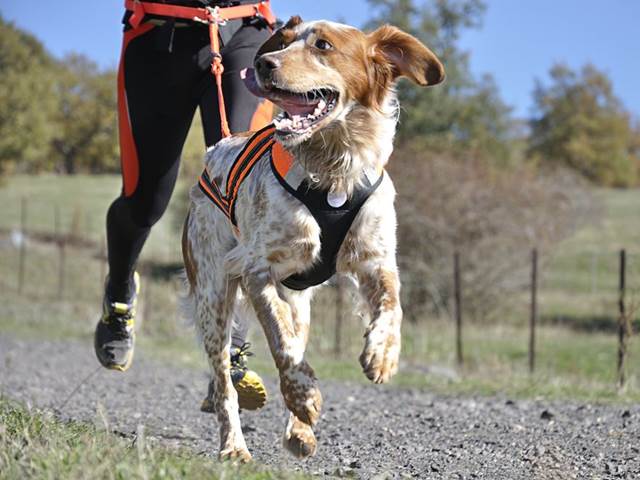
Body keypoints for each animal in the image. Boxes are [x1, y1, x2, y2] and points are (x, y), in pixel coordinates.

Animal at [181, 15, 444, 462]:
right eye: (283, 42)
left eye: (323, 45)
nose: (264, 63)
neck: (334, 170)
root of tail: (218, 146)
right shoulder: (258, 271)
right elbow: (282, 346)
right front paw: (304, 396)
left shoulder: (376, 260)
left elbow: (392, 307)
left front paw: (383, 354)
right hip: (214, 295)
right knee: (225, 384)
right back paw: (235, 446)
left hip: (299, 300)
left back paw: (298, 432)